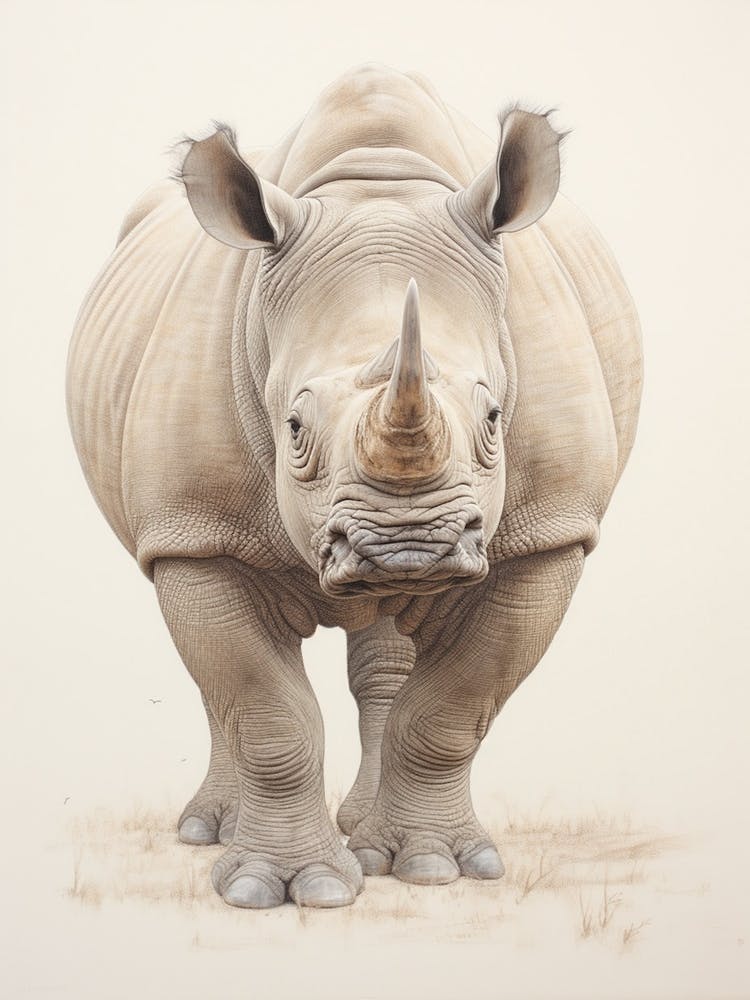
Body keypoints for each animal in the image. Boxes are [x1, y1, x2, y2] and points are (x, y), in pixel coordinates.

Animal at [67, 64, 642, 909]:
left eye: (493, 417)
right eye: (295, 429)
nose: (408, 548)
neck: (377, 185)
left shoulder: (549, 531)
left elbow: (455, 707)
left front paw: (435, 869)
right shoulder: (195, 528)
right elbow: (266, 712)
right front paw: (282, 889)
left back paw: (370, 840)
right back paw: (214, 832)